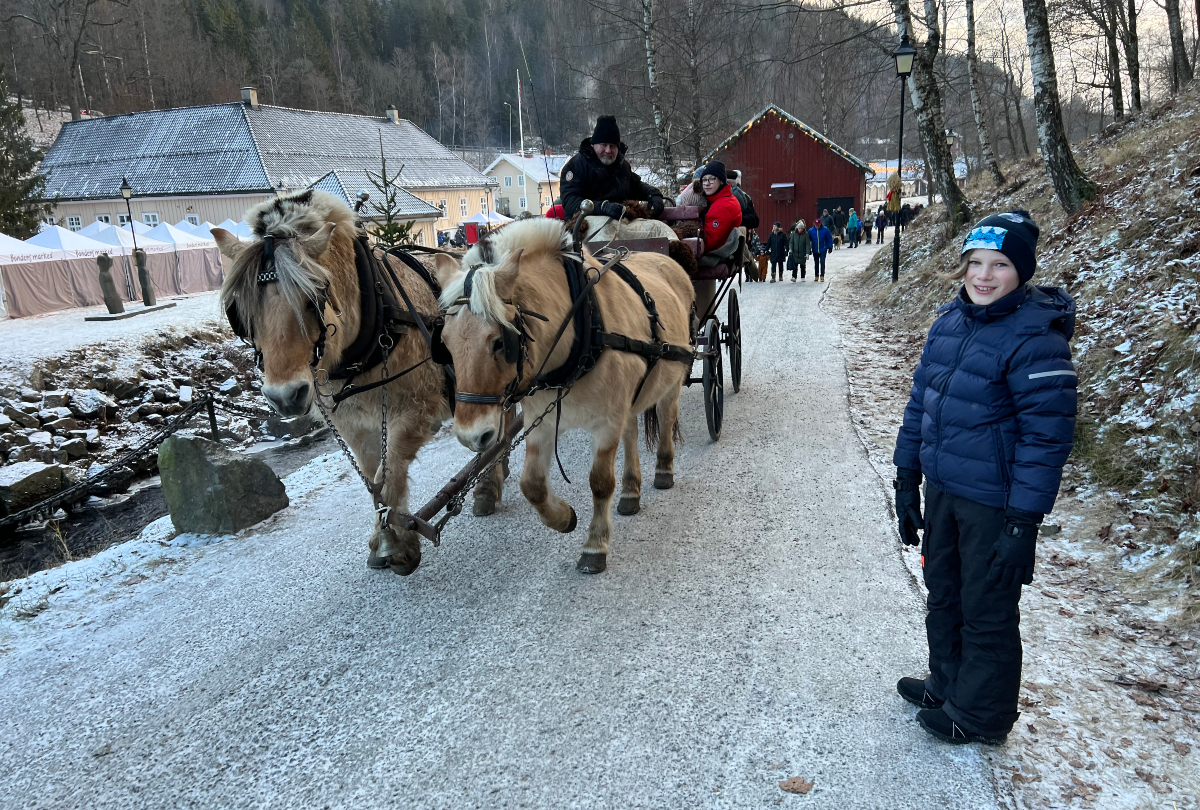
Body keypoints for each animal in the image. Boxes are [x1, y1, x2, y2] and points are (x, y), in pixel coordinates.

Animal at [213, 187, 504, 573]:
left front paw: (397, 543)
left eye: (313, 298)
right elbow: (372, 480)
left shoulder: (415, 412)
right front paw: (384, 535)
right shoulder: (352, 425)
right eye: (240, 312)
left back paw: (487, 487)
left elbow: (387, 474)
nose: (284, 396)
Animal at [439, 222, 696, 573]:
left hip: (672, 380)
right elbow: (532, 485)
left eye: (499, 342)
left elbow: (600, 482)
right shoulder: (542, 422)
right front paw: (563, 518)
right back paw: (630, 491)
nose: (470, 436)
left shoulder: (607, 423)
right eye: (444, 342)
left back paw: (663, 471)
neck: (584, 330)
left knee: (667, 418)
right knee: (631, 431)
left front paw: (595, 545)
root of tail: (667, 260)